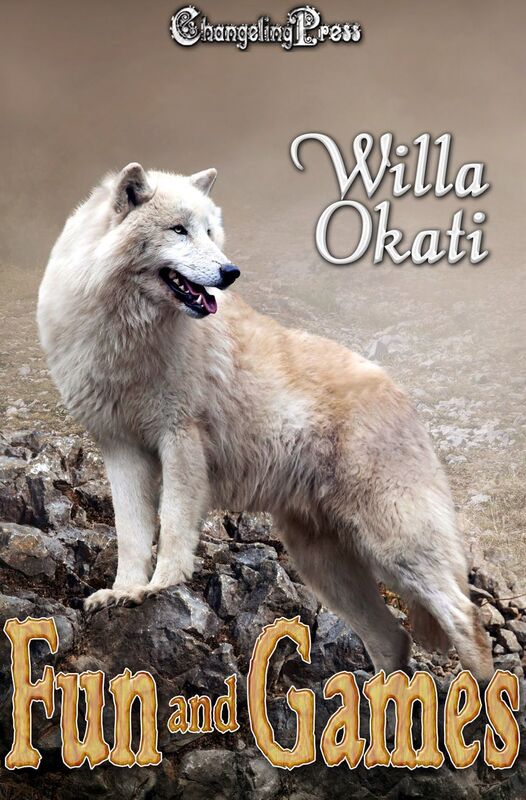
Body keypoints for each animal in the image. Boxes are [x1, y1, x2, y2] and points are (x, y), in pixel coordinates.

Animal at [37, 163, 493, 679]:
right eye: (179, 230)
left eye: (210, 232)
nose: (230, 272)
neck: (129, 335)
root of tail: (402, 394)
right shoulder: (121, 449)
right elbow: (132, 533)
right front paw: (125, 591)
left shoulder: (180, 439)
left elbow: (171, 525)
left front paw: (161, 586)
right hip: (323, 564)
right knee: (393, 639)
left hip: (396, 546)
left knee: (466, 618)